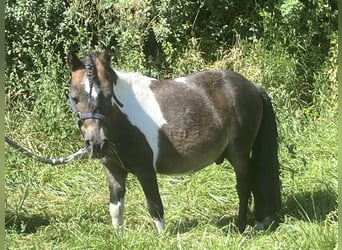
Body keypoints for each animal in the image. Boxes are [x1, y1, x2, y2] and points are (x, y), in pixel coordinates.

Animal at [67, 48, 280, 232]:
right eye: (75, 97)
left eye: (109, 94)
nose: (96, 144)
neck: (122, 120)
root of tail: (253, 87)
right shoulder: (113, 170)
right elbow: (115, 208)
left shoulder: (146, 171)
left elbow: (155, 207)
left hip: (239, 153)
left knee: (244, 185)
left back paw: (241, 226)